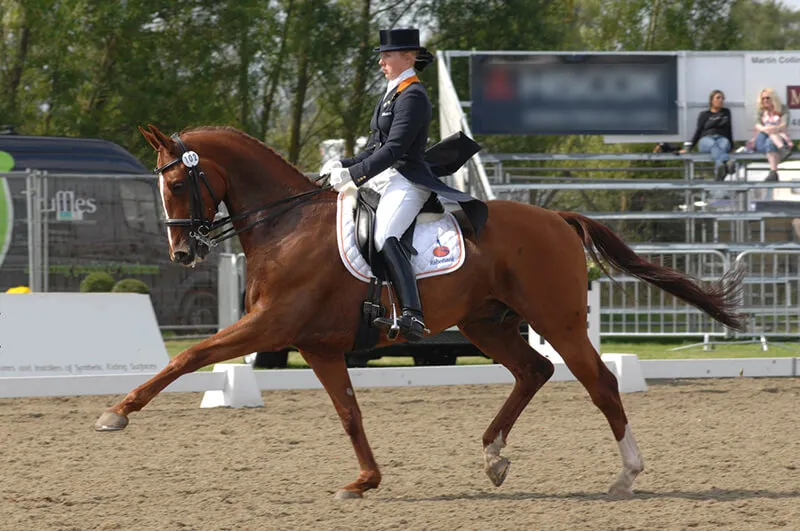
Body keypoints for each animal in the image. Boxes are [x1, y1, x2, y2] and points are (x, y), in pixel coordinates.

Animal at [95, 124, 745, 500]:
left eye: (178, 183)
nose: (183, 252)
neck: (284, 223)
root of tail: (558, 217)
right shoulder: (316, 344)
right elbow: (349, 413)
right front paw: (365, 481)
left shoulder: (272, 326)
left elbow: (189, 355)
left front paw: (116, 414)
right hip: (486, 322)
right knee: (534, 371)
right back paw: (493, 456)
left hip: (557, 321)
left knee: (600, 382)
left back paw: (626, 475)